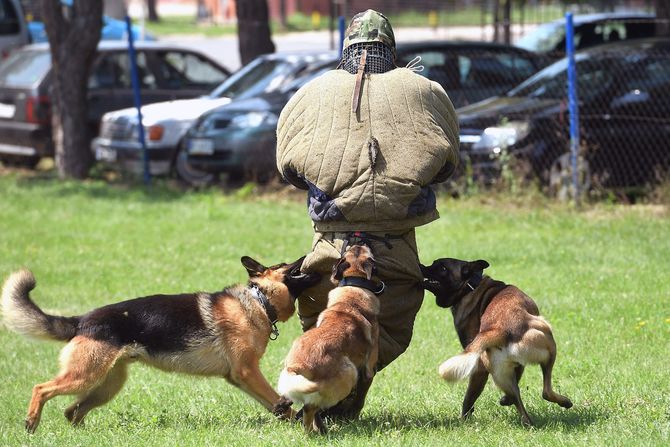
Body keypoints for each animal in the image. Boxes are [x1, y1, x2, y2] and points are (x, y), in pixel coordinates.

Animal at [1, 256, 322, 434]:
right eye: (287, 265)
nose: (308, 256)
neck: (258, 300)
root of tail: (81, 321)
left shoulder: (240, 377)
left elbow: (277, 405)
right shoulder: (247, 372)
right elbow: (278, 400)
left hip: (106, 384)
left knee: (72, 411)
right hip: (84, 376)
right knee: (42, 389)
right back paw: (31, 423)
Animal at [276, 245, 384, 434]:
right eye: (369, 256)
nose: (359, 243)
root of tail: (297, 365)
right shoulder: (369, 367)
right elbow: (362, 391)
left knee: (307, 406)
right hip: (349, 373)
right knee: (310, 408)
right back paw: (313, 432)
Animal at [422, 258, 576, 426]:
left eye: (442, 268)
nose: (421, 267)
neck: (469, 287)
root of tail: (497, 329)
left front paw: (505, 400)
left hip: (501, 376)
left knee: (522, 409)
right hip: (548, 339)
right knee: (546, 391)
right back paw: (565, 402)